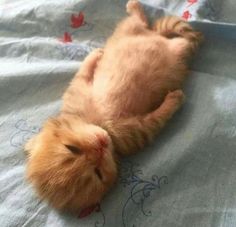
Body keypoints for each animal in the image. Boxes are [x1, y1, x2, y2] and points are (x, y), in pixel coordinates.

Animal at [25, 0, 203, 216]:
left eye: (71, 148)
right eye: (97, 173)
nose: (100, 146)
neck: (101, 124)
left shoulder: (76, 94)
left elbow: (83, 73)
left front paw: (94, 55)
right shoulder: (135, 134)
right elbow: (157, 118)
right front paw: (174, 99)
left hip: (127, 32)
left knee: (140, 23)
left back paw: (134, 7)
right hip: (174, 51)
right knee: (183, 41)